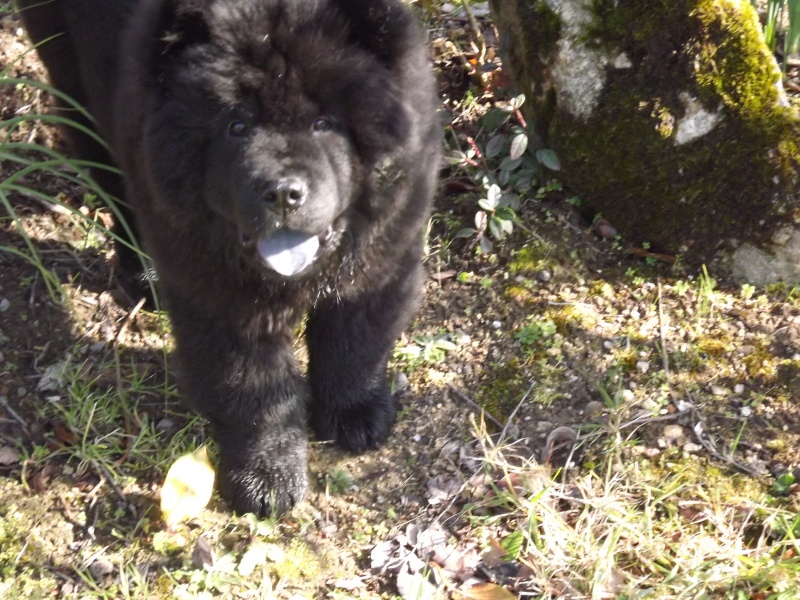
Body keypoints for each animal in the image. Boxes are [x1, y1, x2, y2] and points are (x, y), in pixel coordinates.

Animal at [17, 0, 444, 516]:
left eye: (324, 123)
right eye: (236, 126)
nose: (282, 192)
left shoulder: (385, 256)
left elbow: (354, 344)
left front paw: (355, 416)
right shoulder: (220, 297)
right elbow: (254, 389)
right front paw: (267, 481)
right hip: (76, 87)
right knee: (113, 184)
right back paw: (142, 274)